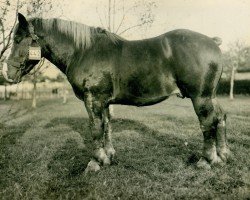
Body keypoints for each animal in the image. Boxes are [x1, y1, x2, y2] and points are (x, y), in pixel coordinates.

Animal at [3, 13, 230, 171]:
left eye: (18, 39)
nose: (8, 73)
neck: (83, 51)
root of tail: (212, 41)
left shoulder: (93, 99)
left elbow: (96, 128)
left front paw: (96, 162)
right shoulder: (103, 101)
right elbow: (107, 126)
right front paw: (109, 155)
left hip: (200, 97)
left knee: (207, 123)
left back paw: (207, 160)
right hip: (211, 96)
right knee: (220, 118)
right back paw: (223, 154)